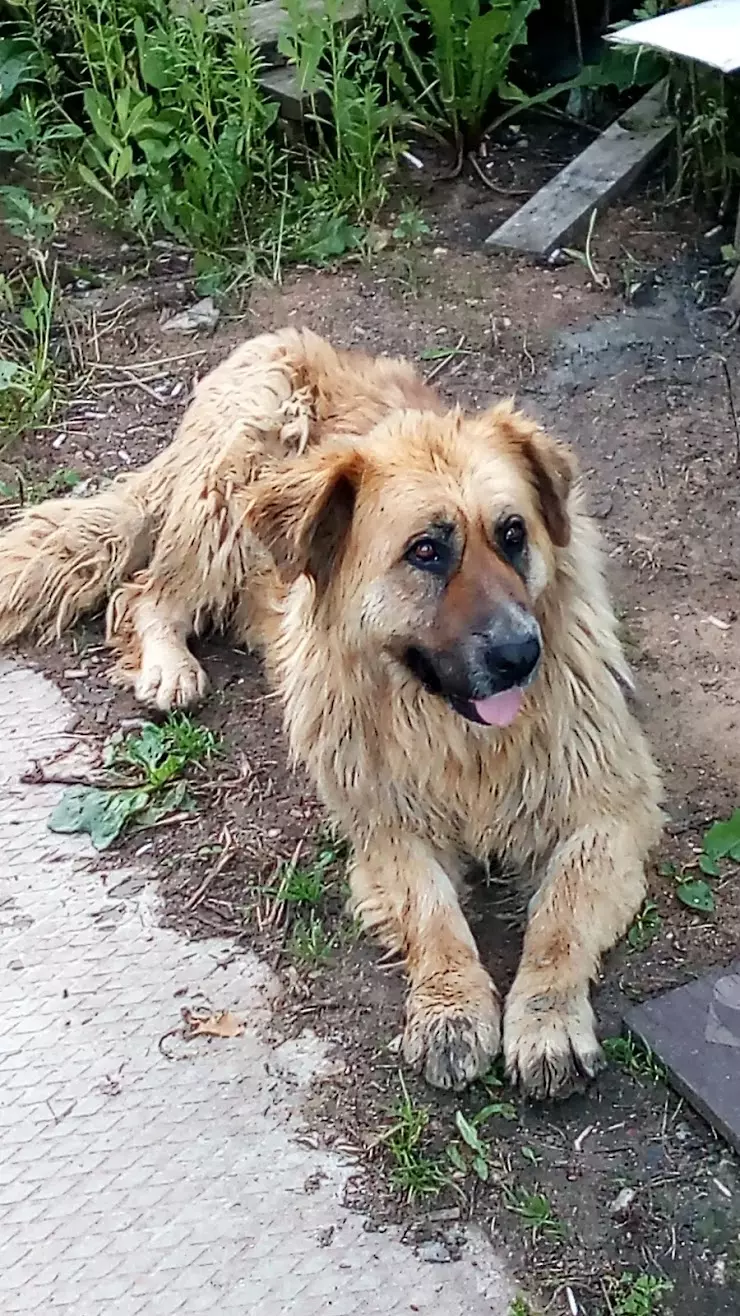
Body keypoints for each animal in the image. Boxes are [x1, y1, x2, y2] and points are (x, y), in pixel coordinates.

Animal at [0, 329, 655, 1100]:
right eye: (426, 551)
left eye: (513, 534)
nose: (522, 654)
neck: (455, 735)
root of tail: (280, 341)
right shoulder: (386, 824)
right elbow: (434, 917)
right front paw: (452, 1010)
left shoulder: (606, 812)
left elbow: (558, 921)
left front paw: (546, 1020)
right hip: (225, 492)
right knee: (144, 593)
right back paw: (168, 667)